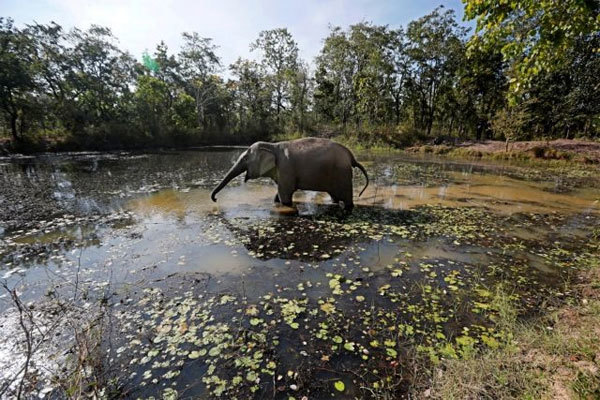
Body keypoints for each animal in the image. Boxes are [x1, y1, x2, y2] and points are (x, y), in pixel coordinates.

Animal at [211, 138, 370, 211]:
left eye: (244, 158)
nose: (215, 199)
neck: (272, 145)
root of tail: (351, 156)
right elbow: (279, 193)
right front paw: (275, 202)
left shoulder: (286, 168)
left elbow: (285, 195)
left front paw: (285, 205)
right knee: (334, 196)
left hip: (342, 174)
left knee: (346, 198)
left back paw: (348, 207)